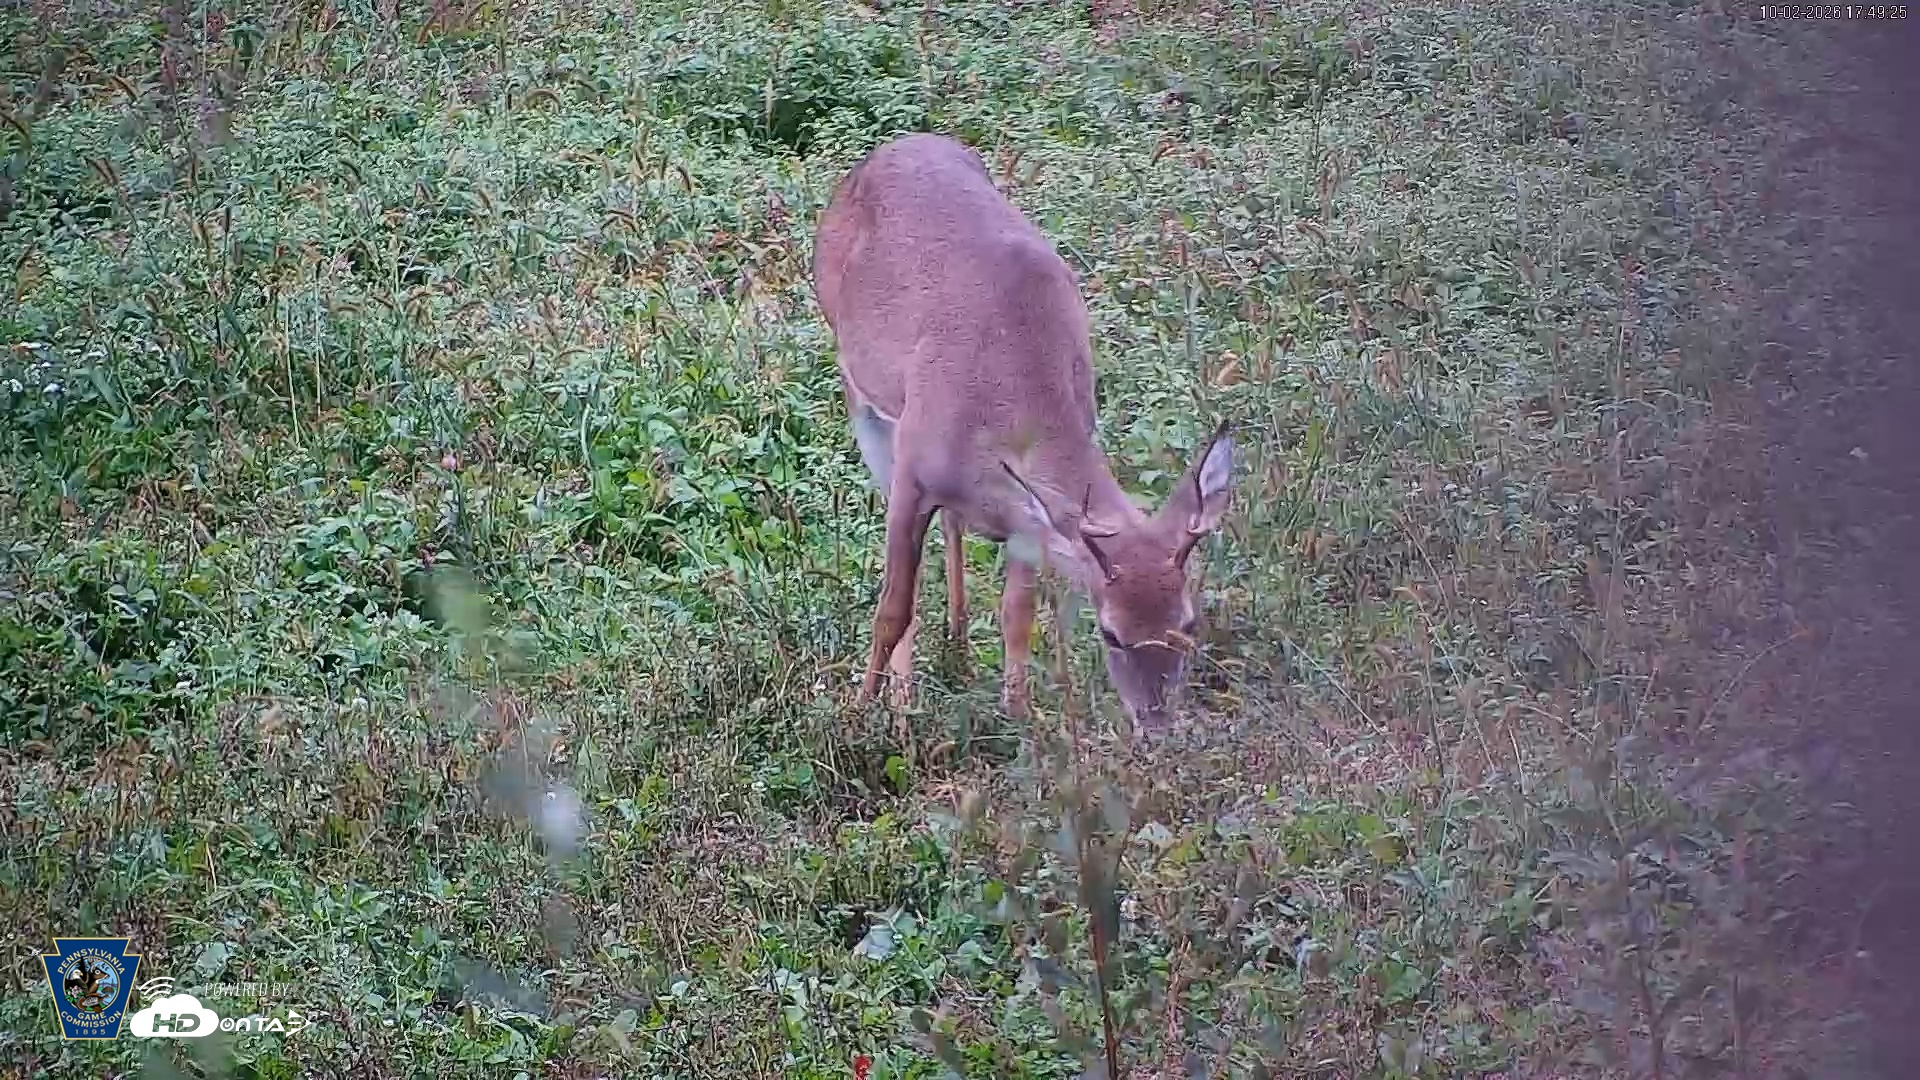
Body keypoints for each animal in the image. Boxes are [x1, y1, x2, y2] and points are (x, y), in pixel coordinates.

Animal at [812, 133, 1235, 737]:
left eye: (1189, 623)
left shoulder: (1028, 512)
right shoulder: (915, 471)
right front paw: (861, 714)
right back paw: (904, 693)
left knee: (954, 527)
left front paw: (1020, 717)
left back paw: (958, 641)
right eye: (1110, 632)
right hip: (860, 389)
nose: (1155, 727)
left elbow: (1018, 613)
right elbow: (892, 608)